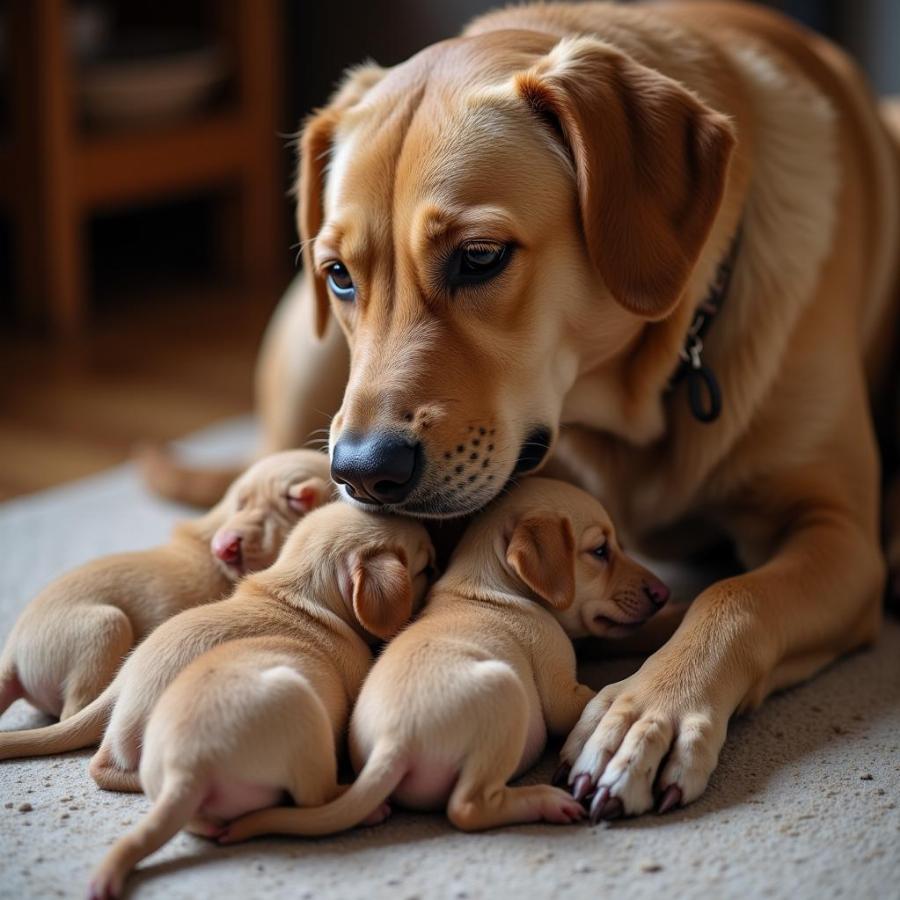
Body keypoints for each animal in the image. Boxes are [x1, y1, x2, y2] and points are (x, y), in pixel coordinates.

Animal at [85, 506, 432, 900]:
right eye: (426, 567)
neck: (304, 594)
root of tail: (188, 770)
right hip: (300, 713)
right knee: (314, 799)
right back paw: (367, 809)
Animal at [218, 482, 668, 840]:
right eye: (599, 550)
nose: (664, 593)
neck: (487, 581)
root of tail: (394, 742)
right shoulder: (556, 675)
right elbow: (587, 694)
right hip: (504, 695)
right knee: (467, 808)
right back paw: (544, 801)